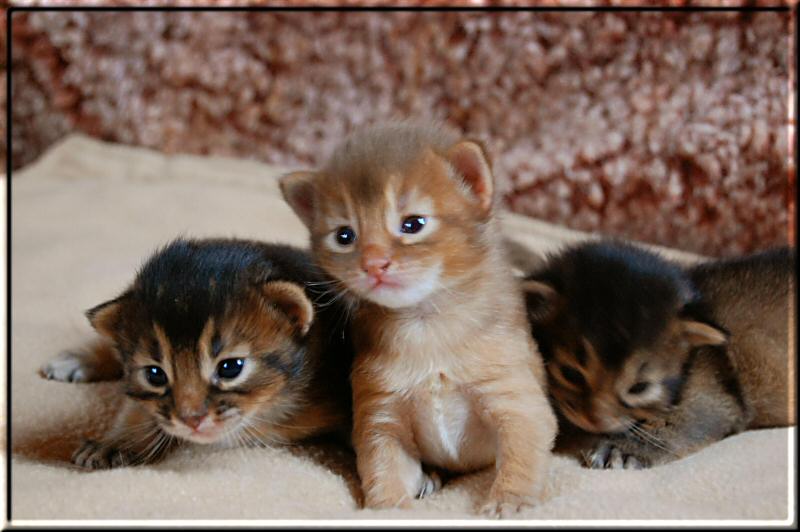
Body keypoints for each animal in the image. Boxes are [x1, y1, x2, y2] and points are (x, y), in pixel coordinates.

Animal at [282, 120, 556, 516]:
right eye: (344, 235)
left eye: (413, 224)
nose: (374, 263)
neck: (427, 328)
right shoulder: (381, 416)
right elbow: (382, 466)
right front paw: (389, 507)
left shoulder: (515, 400)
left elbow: (522, 454)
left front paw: (511, 500)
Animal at [520, 241, 792, 470]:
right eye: (571, 374)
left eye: (639, 388)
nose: (594, 421)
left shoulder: (716, 394)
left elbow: (682, 420)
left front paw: (623, 449)